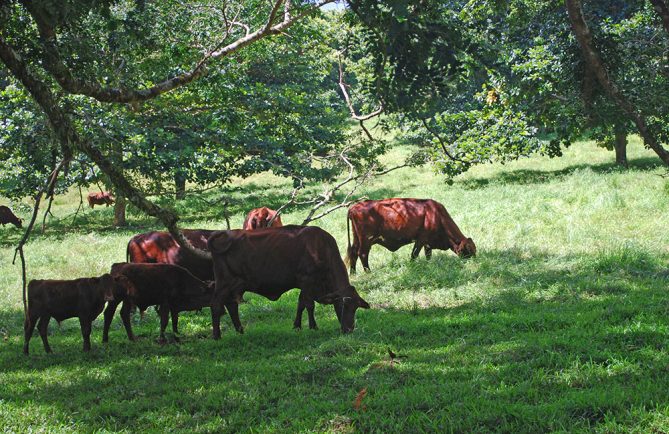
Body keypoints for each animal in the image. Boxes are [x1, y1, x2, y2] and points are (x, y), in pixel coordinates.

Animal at [206, 225, 368, 338]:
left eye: (355, 308)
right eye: (343, 305)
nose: (349, 329)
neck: (321, 248)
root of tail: (223, 234)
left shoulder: (305, 286)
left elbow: (301, 304)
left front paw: (297, 326)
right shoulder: (307, 280)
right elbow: (309, 305)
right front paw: (313, 327)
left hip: (236, 286)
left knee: (232, 306)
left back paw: (240, 331)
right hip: (224, 284)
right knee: (216, 305)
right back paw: (217, 335)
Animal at [344, 199, 474, 272]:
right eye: (469, 251)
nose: (475, 261)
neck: (436, 214)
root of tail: (354, 207)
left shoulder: (427, 243)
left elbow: (428, 255)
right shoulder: (420, 240)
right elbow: (414, 255)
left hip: (357, 239)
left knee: (353, 253)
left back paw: (353, 273)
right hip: (366, 240)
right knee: (362, 254)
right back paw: (368, 272)